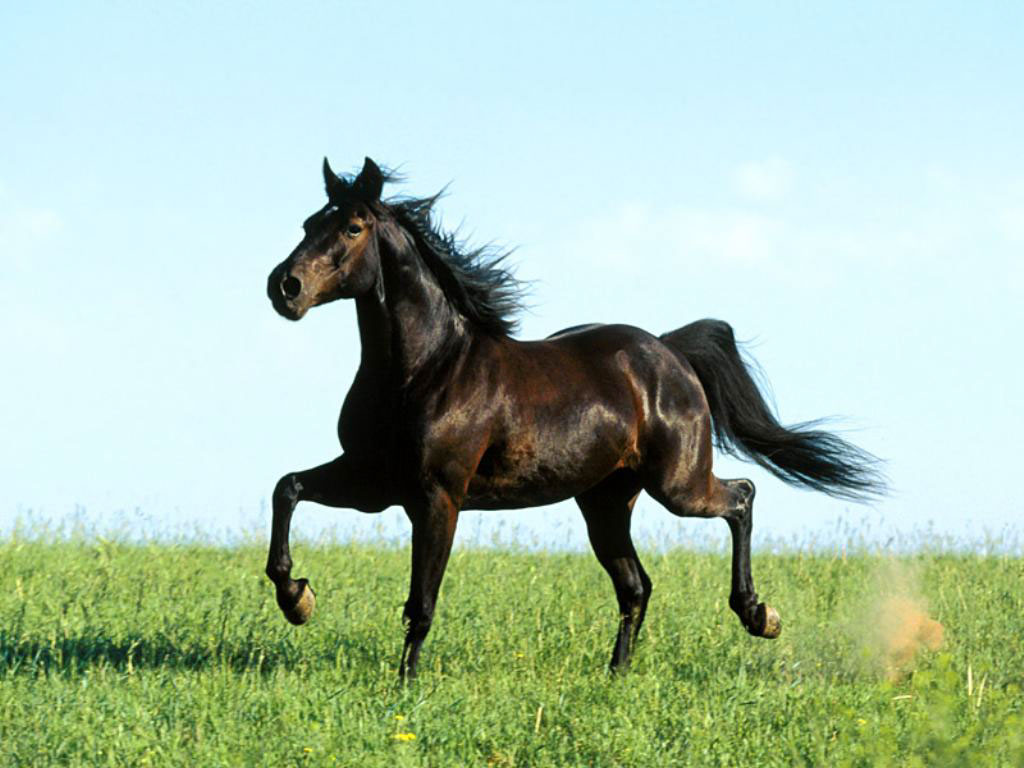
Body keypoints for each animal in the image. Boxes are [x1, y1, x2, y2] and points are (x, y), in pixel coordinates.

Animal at [268, 157, 884, 679]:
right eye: (308, 222)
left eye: (352, 228)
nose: (285, 287)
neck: (425, 370)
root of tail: (669, 351)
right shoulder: (373, 481)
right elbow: (288, 488)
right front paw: (298, 598)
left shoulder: (436, 496)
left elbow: (421, 601)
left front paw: (405, 686)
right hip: (606, 500)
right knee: (636, 586)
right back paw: (617, 674)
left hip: (678, 486)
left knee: (741, 497)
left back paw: (759, 615)